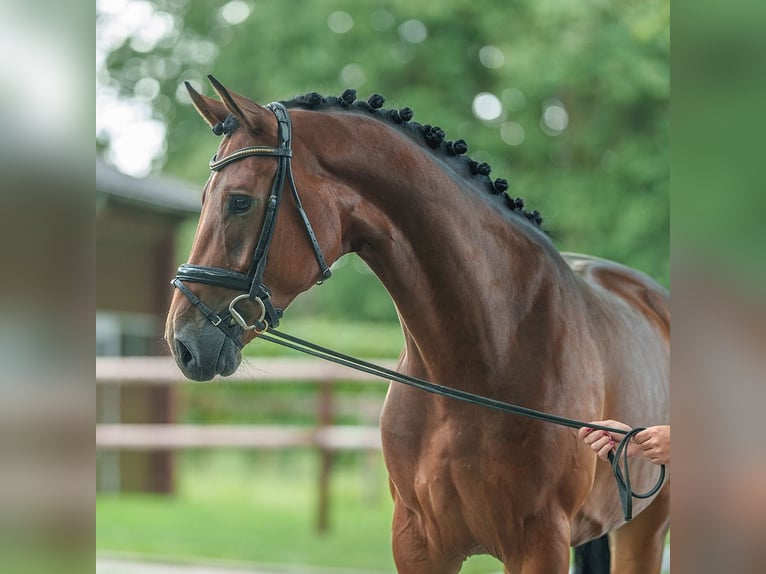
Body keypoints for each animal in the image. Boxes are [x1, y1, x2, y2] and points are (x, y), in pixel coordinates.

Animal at [165, 77, 668, 574]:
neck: (482, 360)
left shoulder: (540, 544)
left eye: (239, 201)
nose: (183, 343)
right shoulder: (417, 542)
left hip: (644, 530)